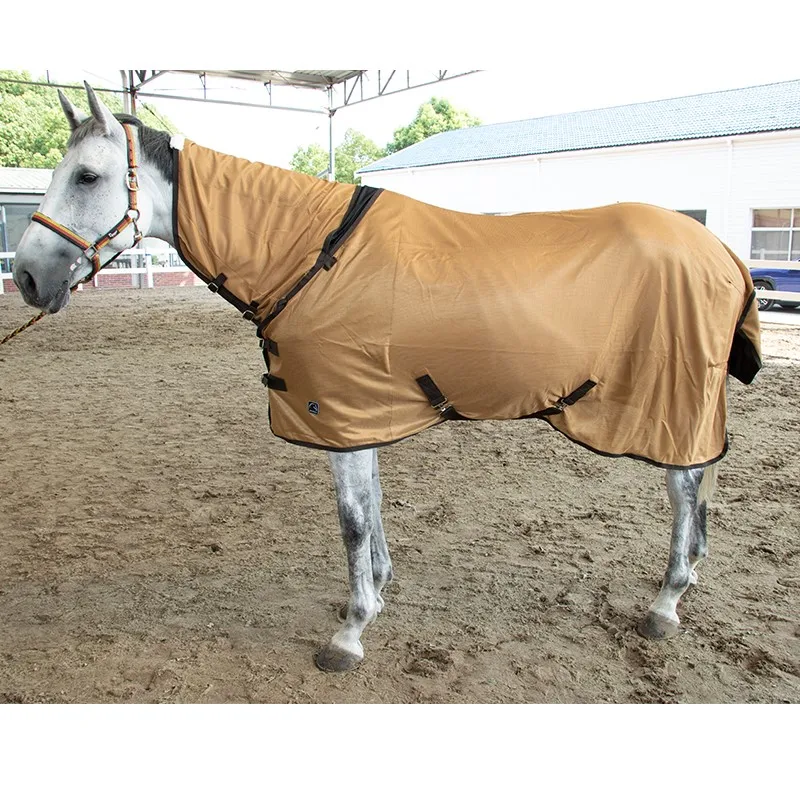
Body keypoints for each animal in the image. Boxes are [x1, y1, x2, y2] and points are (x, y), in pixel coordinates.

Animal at [11, 83, 761, 673]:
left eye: (86, 176)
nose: (26, 277)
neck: (313, 254)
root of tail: (720, 250)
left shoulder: (338, 413)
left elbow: (350, 522)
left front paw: (349, 633)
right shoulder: (359, 413)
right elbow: (370, 511)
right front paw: (377, 593)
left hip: (671, 411)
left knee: (685, 496)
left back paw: (666, 602)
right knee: (700, 492)